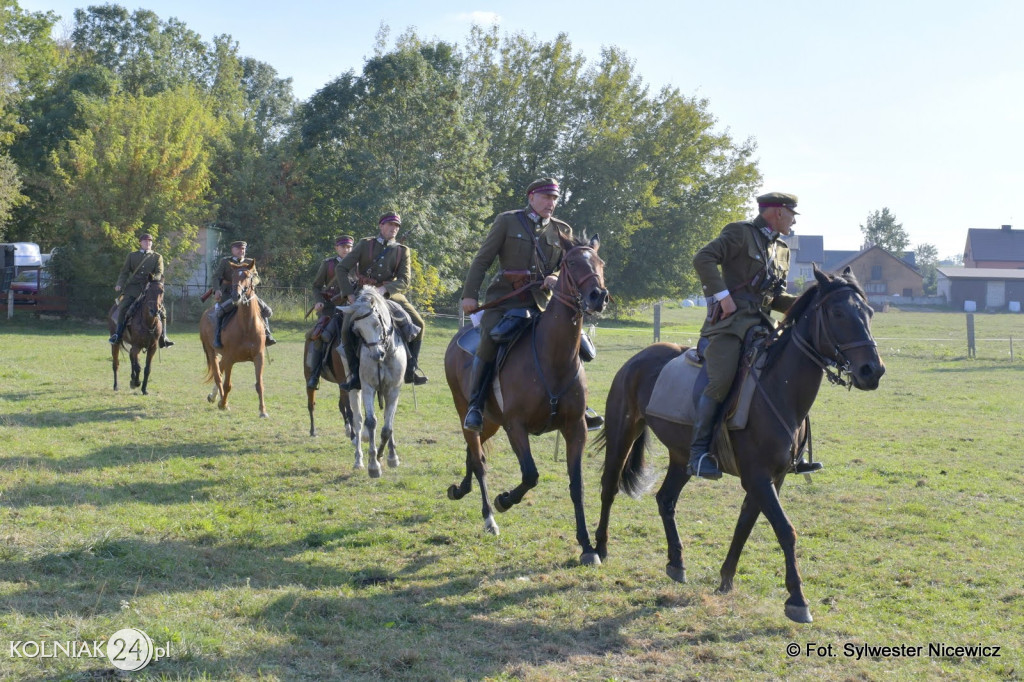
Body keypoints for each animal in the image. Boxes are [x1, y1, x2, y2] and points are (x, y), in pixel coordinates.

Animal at [198, 260, 268, 417]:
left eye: (248, 276)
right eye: (234, 276)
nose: (236, 296)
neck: (247, 326)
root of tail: (205, 314)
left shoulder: (259, 357)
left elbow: (259, 384)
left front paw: (263, 411)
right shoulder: (230, 358)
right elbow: (227, 384)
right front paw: (224, 404)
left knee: (220, 369)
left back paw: (214, 396)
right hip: (211, 351)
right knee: (218, 375)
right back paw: (219, 399)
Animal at [339, 284, 411, 475]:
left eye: (376, 323)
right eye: (357, 331)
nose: (376, 354)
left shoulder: (393, 389)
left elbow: (388, 426)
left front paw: (387, 456)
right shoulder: (368, 387)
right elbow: (371, 422)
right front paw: (373, 463)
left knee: (387, 417)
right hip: (355, 389)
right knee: (357, 420)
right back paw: (359, 459)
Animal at [442, 233, 606, 561]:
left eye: (600, 263)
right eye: (571, 263)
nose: (598, 295)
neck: (552, 357)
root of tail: (458, 338)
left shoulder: (576, 428)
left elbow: (577, 485)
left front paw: (586, 546)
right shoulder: (515, 427)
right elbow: (530, 474)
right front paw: (504, 500)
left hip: (490, 421)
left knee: (473, 453)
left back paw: (461, 490)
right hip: (467, 412)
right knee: (478, 459)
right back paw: (489, 516)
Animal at [598, 266, 884, 622]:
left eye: (869, 312)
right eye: (838, 313)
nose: (872, 370)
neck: (778, 388)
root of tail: (637, 359)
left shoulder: (773, 478)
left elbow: (746, 524)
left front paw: (725, 579)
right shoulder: (758, 477)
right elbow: (785, 530)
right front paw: (797, 599)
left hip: (682, 456)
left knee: (666, 499)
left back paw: (676, 562)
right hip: (622, 434)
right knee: (609, 487)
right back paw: (597, 549)